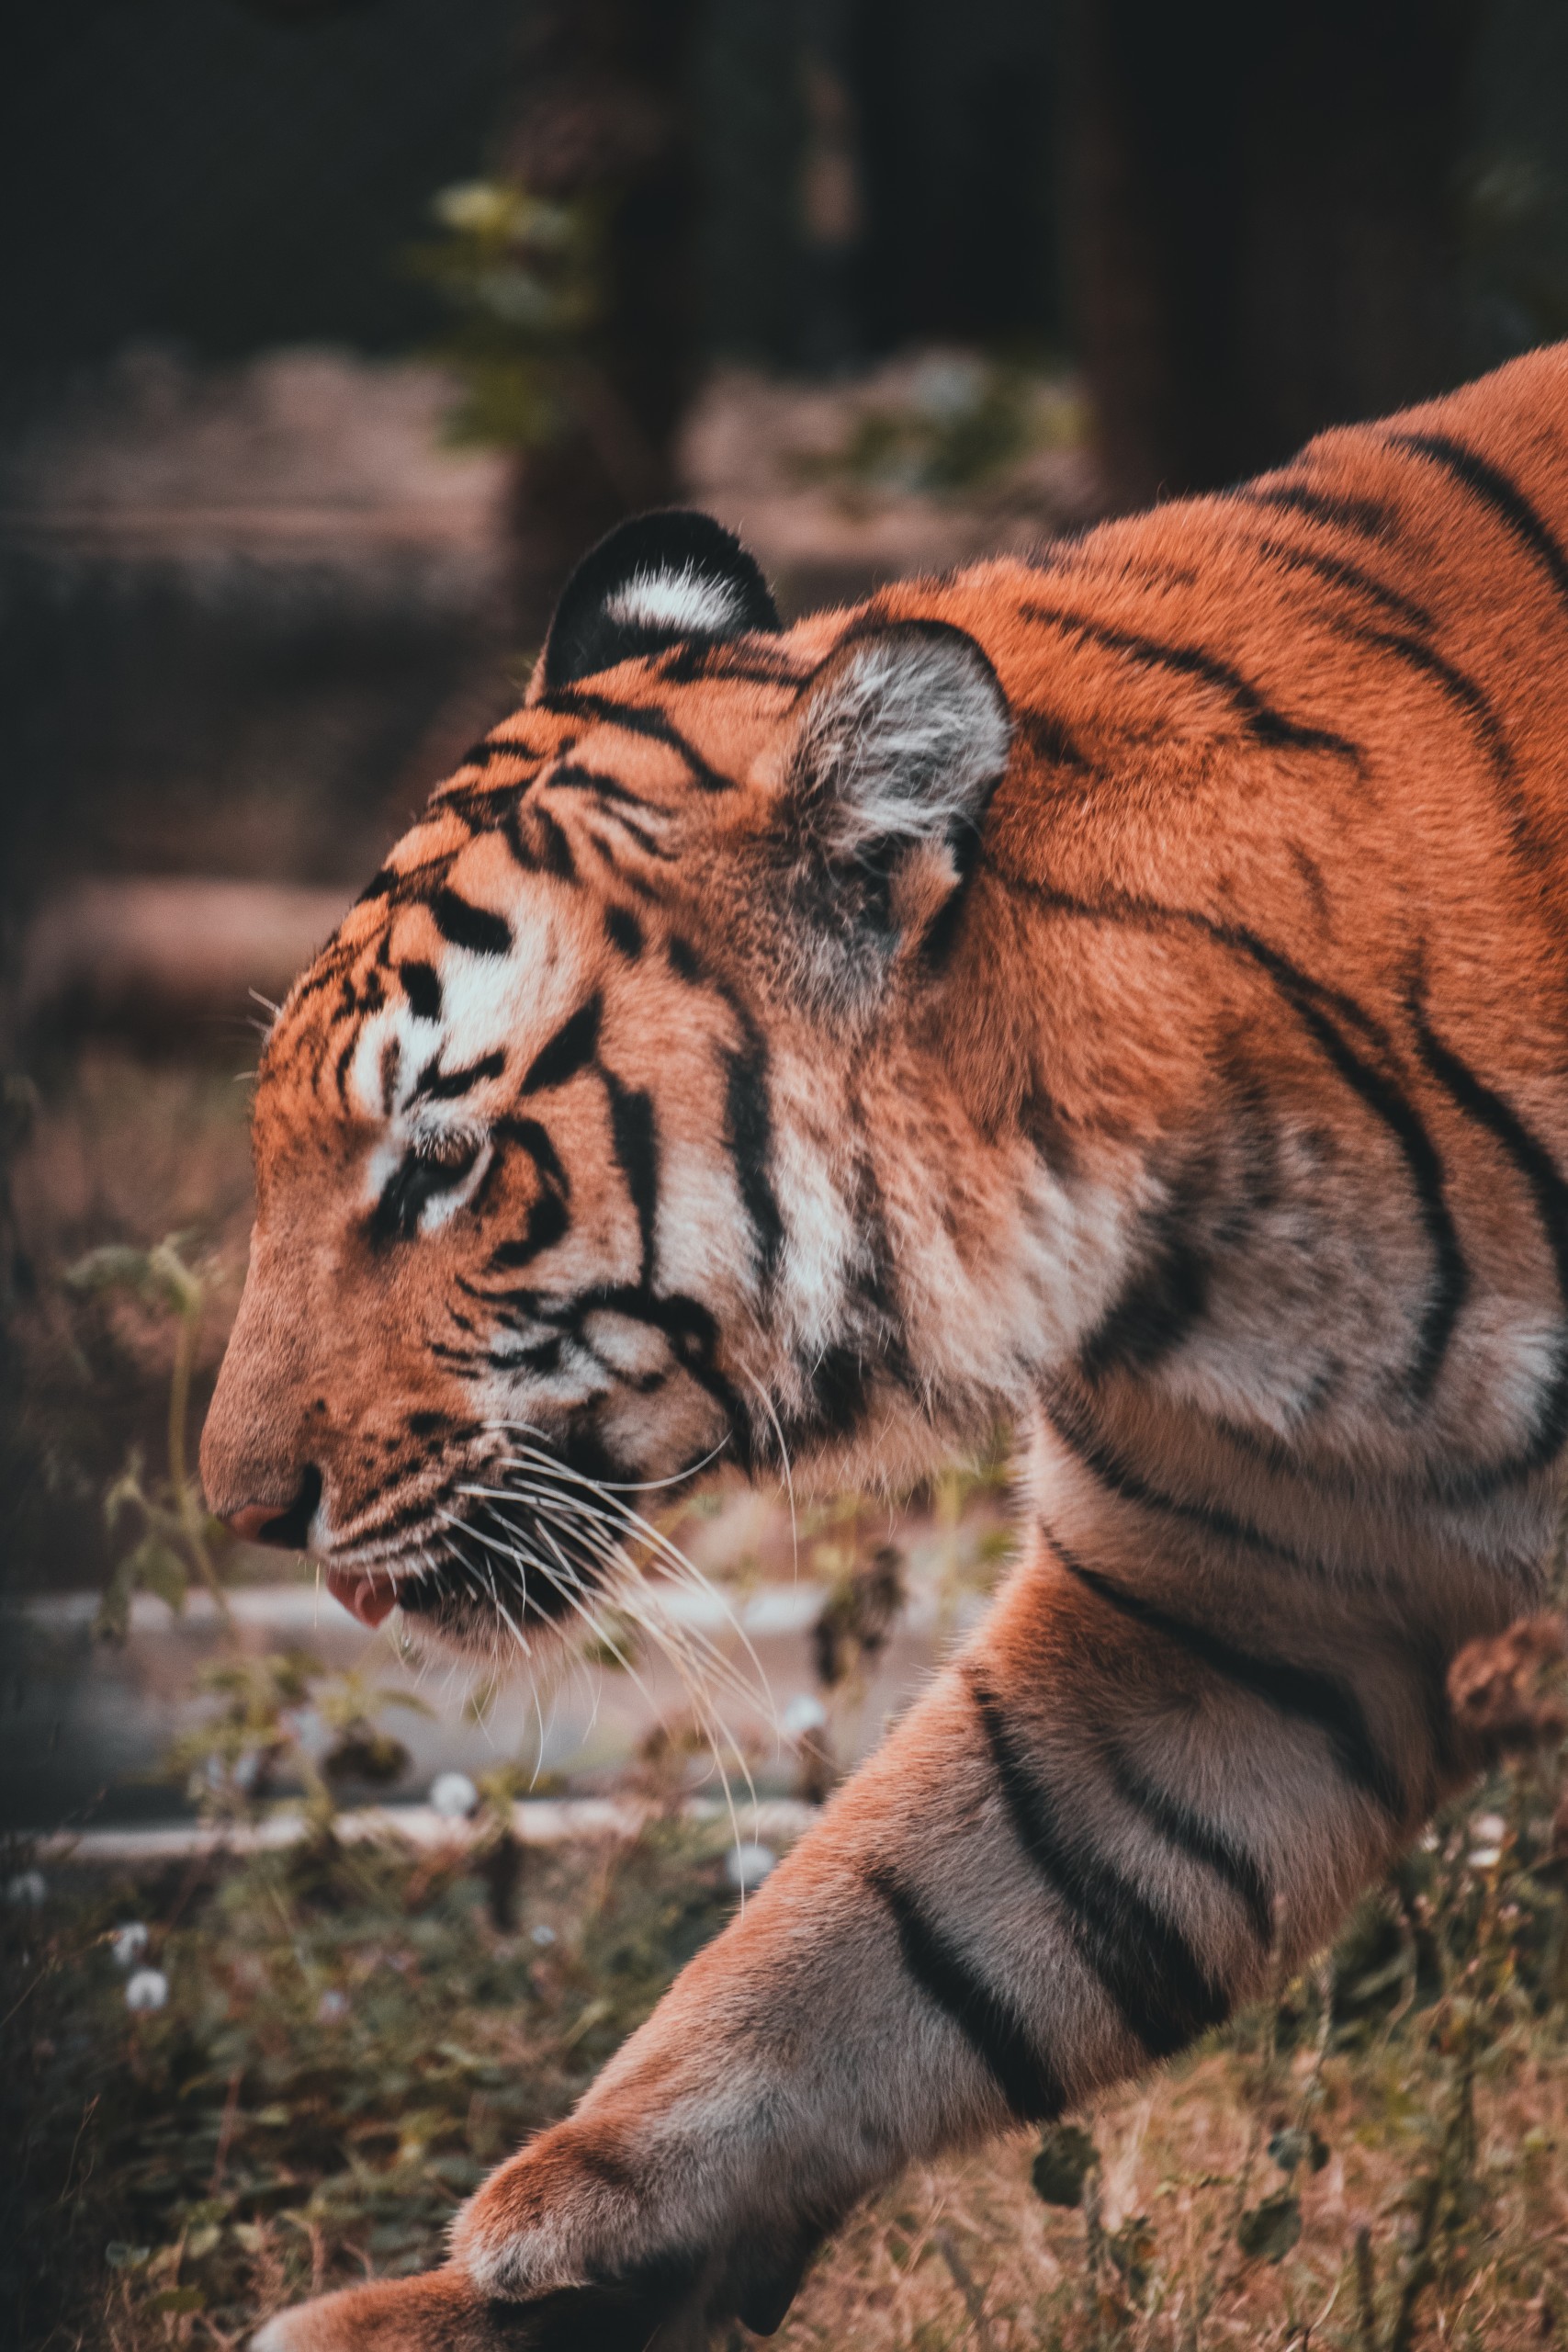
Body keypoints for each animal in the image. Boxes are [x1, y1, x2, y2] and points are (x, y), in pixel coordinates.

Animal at [199, 347, 1568, 2352]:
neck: (1225, 1269)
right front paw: (529, 2263)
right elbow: (871, 1939)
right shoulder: (1226, 1615)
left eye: (441, 1161)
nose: (243, 1513)